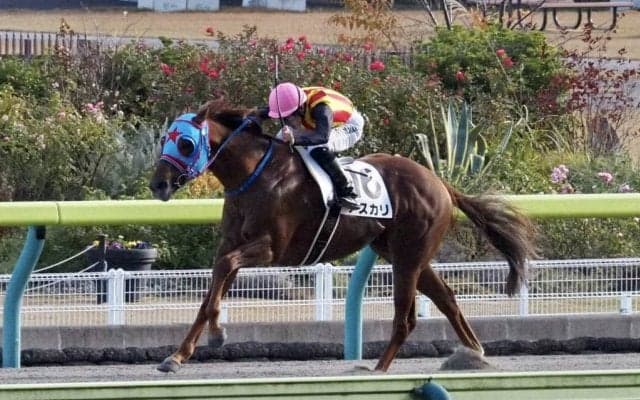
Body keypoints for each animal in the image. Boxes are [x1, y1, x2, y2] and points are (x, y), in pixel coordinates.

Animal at [149, 100, 538, 373]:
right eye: (165, 139)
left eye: (186, 144)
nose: (158, 185)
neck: (256, 175)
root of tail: (440, 182)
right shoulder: (231, 246)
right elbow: (212, 290)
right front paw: (179, 355)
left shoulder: (271, 249)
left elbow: (225, 271)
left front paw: (216, 335)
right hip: (402, 253)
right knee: (447, 298)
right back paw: (476, 354)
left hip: (408, 256)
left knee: (406, 318)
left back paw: (377, 370)